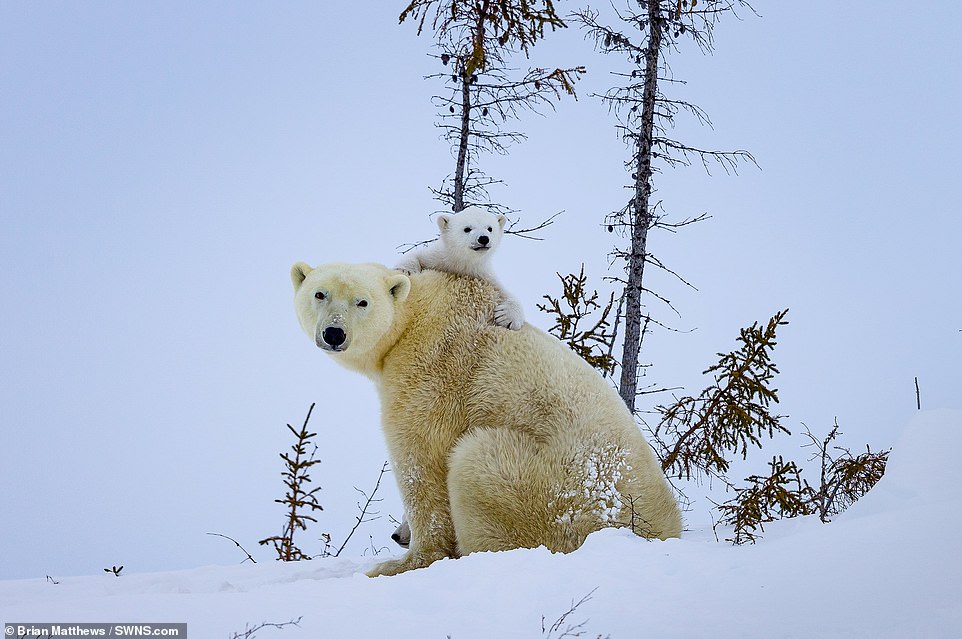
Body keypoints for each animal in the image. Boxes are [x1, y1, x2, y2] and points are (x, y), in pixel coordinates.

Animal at [292, 262, 684, 576]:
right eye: (319, 294)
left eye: (362, 302)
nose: (334, 333)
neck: (418, 313)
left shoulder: (431, 368)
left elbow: (421, 458)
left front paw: (401, 563)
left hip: (554, 493)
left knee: (476, 459)